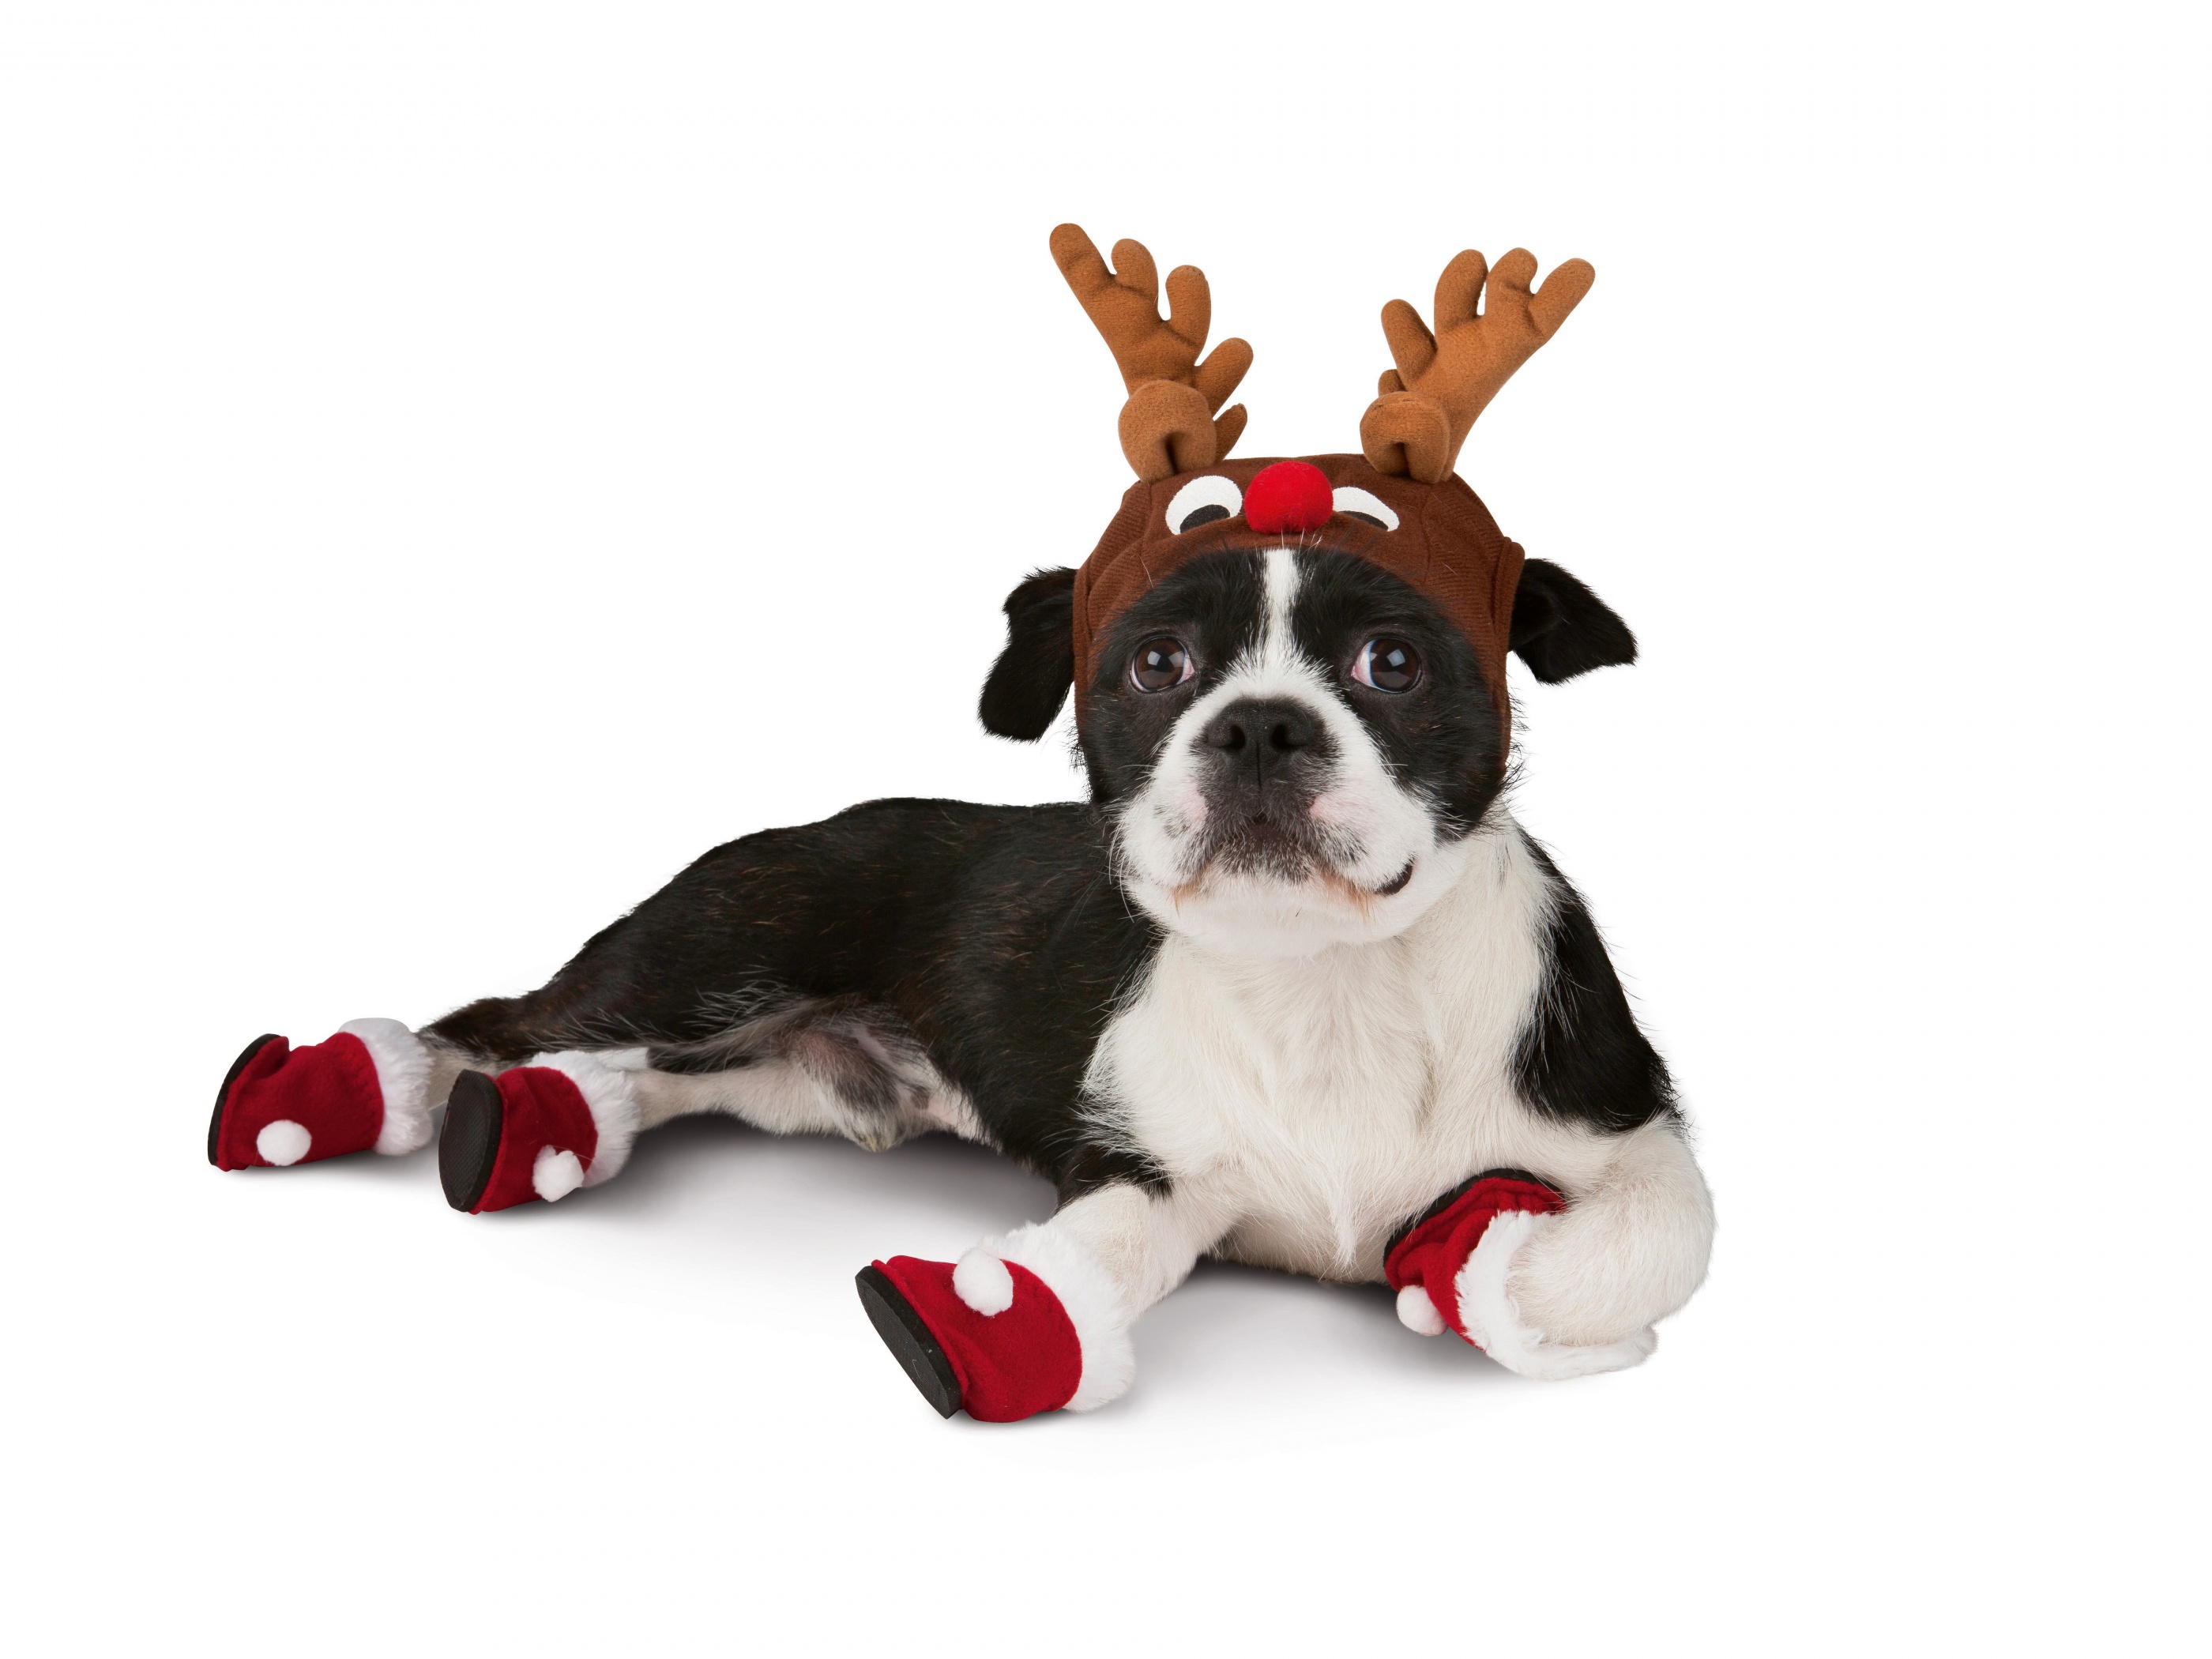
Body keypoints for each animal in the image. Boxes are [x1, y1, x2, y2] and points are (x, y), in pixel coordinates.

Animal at [203, 228, 1707, 1424]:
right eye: (1156, 665)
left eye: (1395, 663)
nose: (1261, 726)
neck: (1324, 984)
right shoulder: (1147, 1167)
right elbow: (1101, 1254)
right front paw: (991, 1327)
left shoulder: (1634, 1130)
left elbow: (1649, 1241)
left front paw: (1464, 1271)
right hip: (700, 954)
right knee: (497, 1019)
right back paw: (357, 1087)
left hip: (776, 1073)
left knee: (635, 1078)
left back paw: (548, 1124)